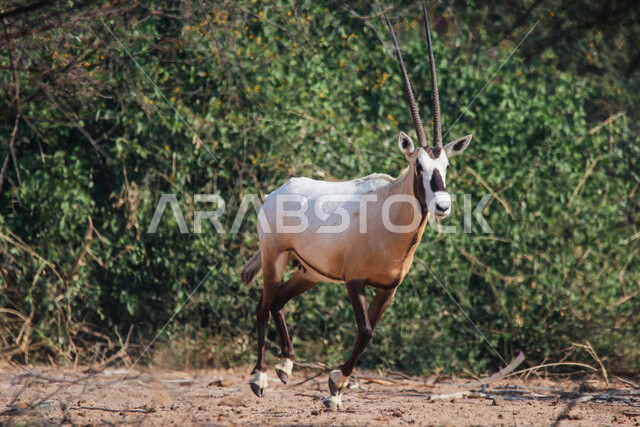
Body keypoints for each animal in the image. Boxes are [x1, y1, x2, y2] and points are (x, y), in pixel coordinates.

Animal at [241, 3, 472, 409]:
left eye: (445, 166)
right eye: (418, 165)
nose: (442, 205)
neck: (389, 215)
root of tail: (278, 191)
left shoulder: (388, 288)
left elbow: (371, 332)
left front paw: (336, 389)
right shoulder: (355, 281)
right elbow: (364, 331)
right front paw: (334, 385)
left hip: (310, 272)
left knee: (277, 302)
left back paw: (286, 366)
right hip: (275, 258)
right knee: (262, 306)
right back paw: (261, 378)